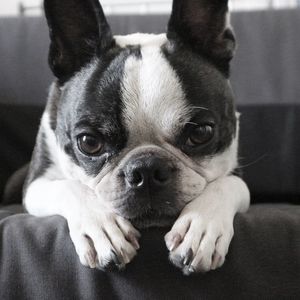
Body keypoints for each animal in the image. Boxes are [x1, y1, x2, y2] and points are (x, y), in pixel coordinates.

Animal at [23, 0, 250, 276]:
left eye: (201, 133)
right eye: (89, 143)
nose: (147, 169)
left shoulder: (235, 172)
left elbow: (226, 184)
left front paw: (201, 227)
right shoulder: (35, 186)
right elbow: (70, 187)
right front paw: (103, 228)